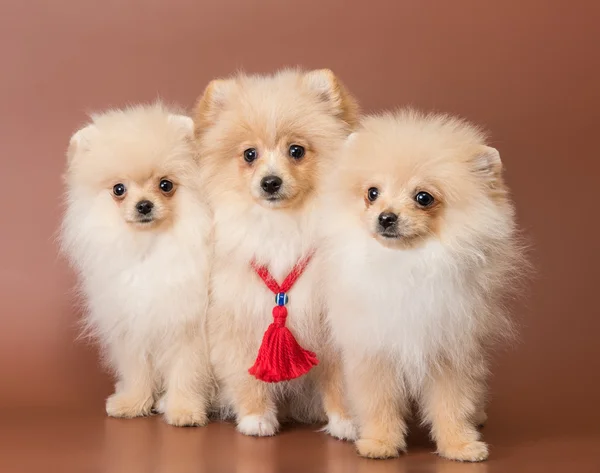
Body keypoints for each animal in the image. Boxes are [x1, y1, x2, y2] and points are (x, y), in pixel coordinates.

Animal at [60, 104, 213, 428]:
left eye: (165, 185)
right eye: (118, 189)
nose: (144, 205)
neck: (148, 248)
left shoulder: (188, 327)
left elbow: (186, 373)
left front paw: (184, 410)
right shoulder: (131, 325)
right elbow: (136, 371)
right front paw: (132, 403)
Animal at [195, 68, 358, 436]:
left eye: (296, 150)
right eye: (249, 154)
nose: (270, 182)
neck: (282, 224)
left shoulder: (332, 323)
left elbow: (341, 379)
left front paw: (347, 421)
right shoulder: (239, 316)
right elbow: (248, 374)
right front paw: (256, 417)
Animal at [318, 111, 524, 460]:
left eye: (423, 198)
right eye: (372, 193)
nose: (386, 217)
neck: (407, 263)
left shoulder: (450, 350)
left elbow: (452, 405)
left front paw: (460, 445)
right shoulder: (374, 350)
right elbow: (379, 402)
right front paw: (379, 443)